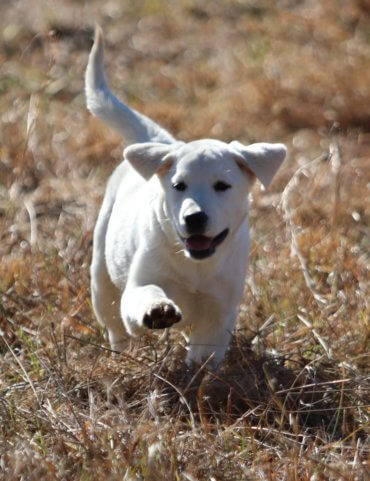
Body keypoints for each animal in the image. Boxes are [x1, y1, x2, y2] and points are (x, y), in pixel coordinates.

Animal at [85, 28, 288, 366]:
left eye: (222, 186)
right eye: (179, 186)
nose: (194, 218)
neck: (196, 268)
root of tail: (168, 144)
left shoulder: (219, 312)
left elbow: (204, 356)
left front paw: (198, 374)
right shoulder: (138, 286)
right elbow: (146, 294)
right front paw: (157, 310)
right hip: (102, 278)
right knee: (116, 325)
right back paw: (122, 355)